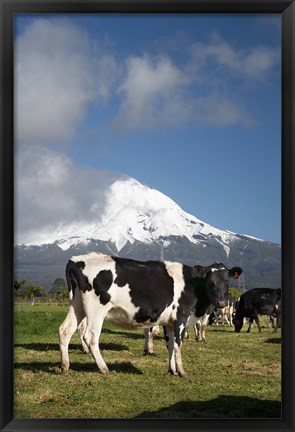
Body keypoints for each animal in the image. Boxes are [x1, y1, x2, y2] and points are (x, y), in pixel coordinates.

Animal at [58, 251, 243, 376]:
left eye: (227, 281)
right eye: (210, 281)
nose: (221, 303)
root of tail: (76, 260)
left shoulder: (169, 321)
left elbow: (170, 344)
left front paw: (172, 370)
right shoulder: (180, 318)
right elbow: (178, 344)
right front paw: (182, 371)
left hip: (77, 305)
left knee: (65, 330)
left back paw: (65, 366)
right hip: (96, 309)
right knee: (90, 336)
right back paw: (104, 368)